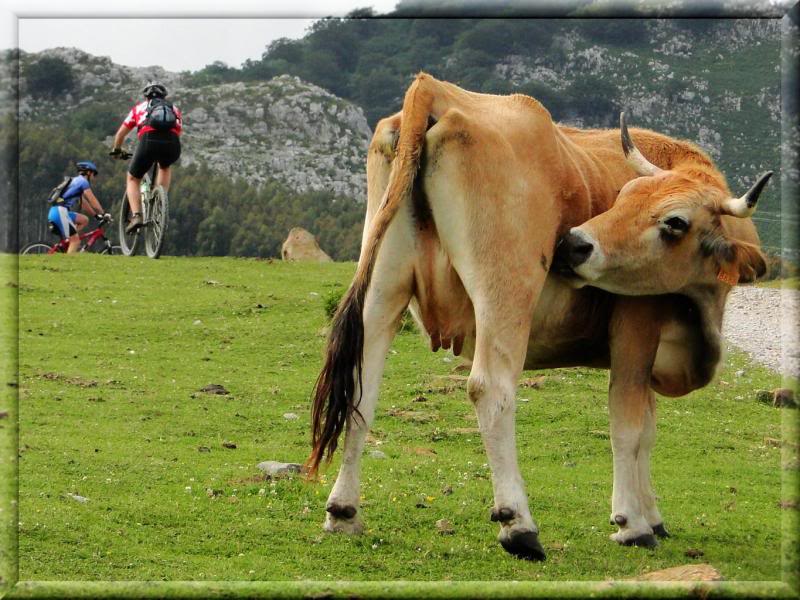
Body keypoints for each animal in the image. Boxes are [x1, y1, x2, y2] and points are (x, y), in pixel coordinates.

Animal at [304, 72, 768, 560]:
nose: (574, 244)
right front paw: (632, 523)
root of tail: (435, 89)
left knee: (361, 387)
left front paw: (653, 516)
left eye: (674, 221)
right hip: (505, 293)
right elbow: (628, 425)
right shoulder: (636, 324)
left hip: (382, 288)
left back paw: (343, 511)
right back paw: (518, 525)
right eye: (624, 197)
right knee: (491, 390)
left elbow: (648, 429)